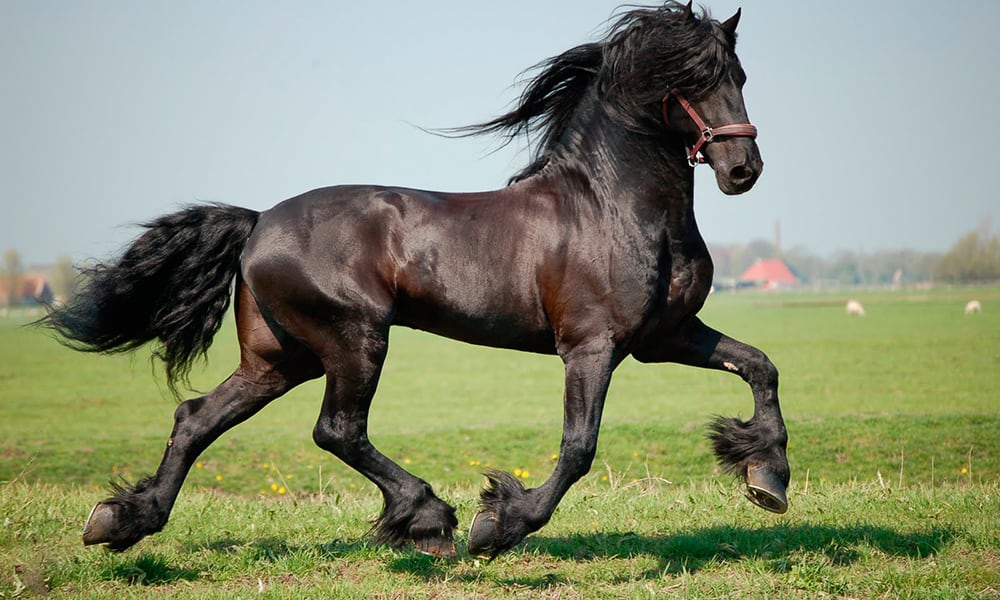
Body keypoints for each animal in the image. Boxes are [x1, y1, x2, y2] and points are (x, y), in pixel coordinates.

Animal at [39, 1, 788, 559]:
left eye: (740, 73)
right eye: (686, 79)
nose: (742, 170)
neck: (612, 206)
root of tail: (257, 223)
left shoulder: (666, 336)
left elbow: (760, 366)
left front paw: (767, 475)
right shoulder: (591, 346)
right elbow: (578, 447)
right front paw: (499, 525)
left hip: (280, 358)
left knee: (197, 419)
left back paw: (122, 520)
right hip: (353, 340)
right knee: (336, 430)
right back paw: (429, 517)